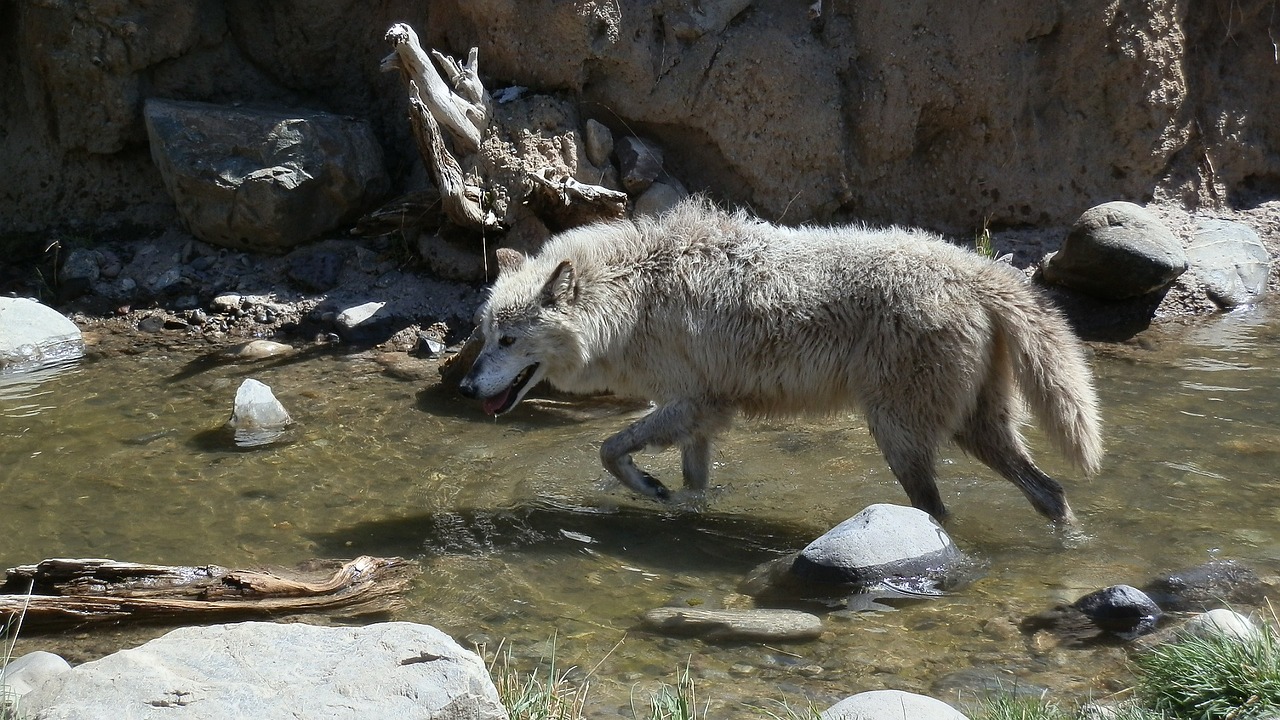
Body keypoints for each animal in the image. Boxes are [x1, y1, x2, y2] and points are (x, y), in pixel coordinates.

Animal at [460, 196, 1100, 520]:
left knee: (937, 512)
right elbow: (691, 482)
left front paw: (647, 487)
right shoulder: (701, 416)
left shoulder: (696, 403)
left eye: (507, 341)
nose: (466, 389)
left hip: (899, 433)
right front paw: (679, 505)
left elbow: (608, 448)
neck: (634, 294)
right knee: (1050, 492)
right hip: (973, 429)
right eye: (484, 334)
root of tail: (973, 270)